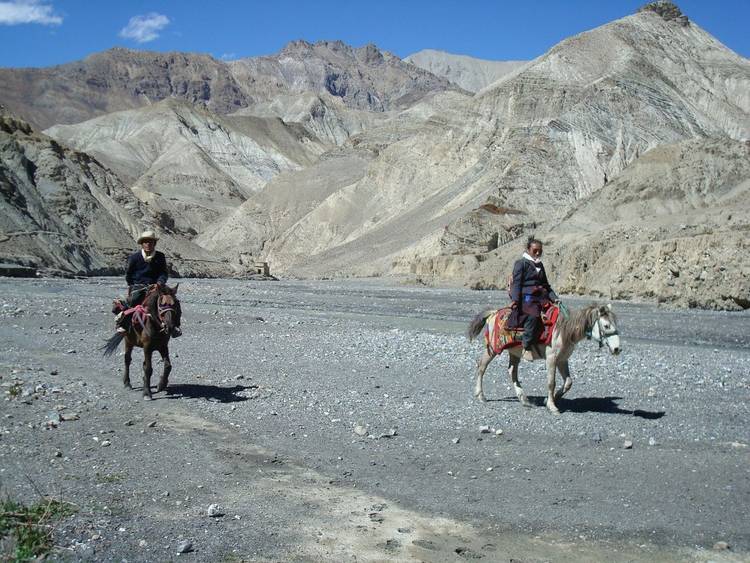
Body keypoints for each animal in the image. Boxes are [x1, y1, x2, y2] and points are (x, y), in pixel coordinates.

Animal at [470, 304, 624, 414]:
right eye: (606, 326)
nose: (617, 349)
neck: (564, 330)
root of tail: (493, 313)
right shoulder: (551, 359)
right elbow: (551, 382)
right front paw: (552, 406)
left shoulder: (562, 360)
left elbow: (568, 382)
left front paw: (548, 400)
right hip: (492, 349)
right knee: (482, 366)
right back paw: (481, 396)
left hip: (514, 352)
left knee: (512, 371)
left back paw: (524, 399)